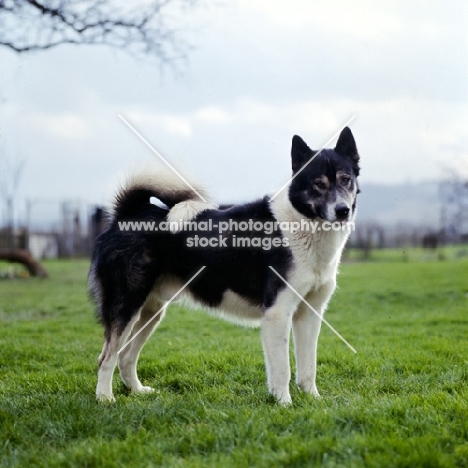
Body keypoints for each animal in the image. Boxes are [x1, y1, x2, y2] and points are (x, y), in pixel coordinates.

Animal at [89, 126, 360, 404]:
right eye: (318, 184)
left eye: (346, 180)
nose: (343, 210)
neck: (302, 224)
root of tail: (127, 213)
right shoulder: (277, 312)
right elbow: (283, 369)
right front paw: (284, 403)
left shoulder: (309, 314)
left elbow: (308, 366)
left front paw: (313, 400)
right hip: (126, 306)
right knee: (106, 357)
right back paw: (104, 399)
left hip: (151, 311)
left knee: (125, 356)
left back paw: (137, 391)